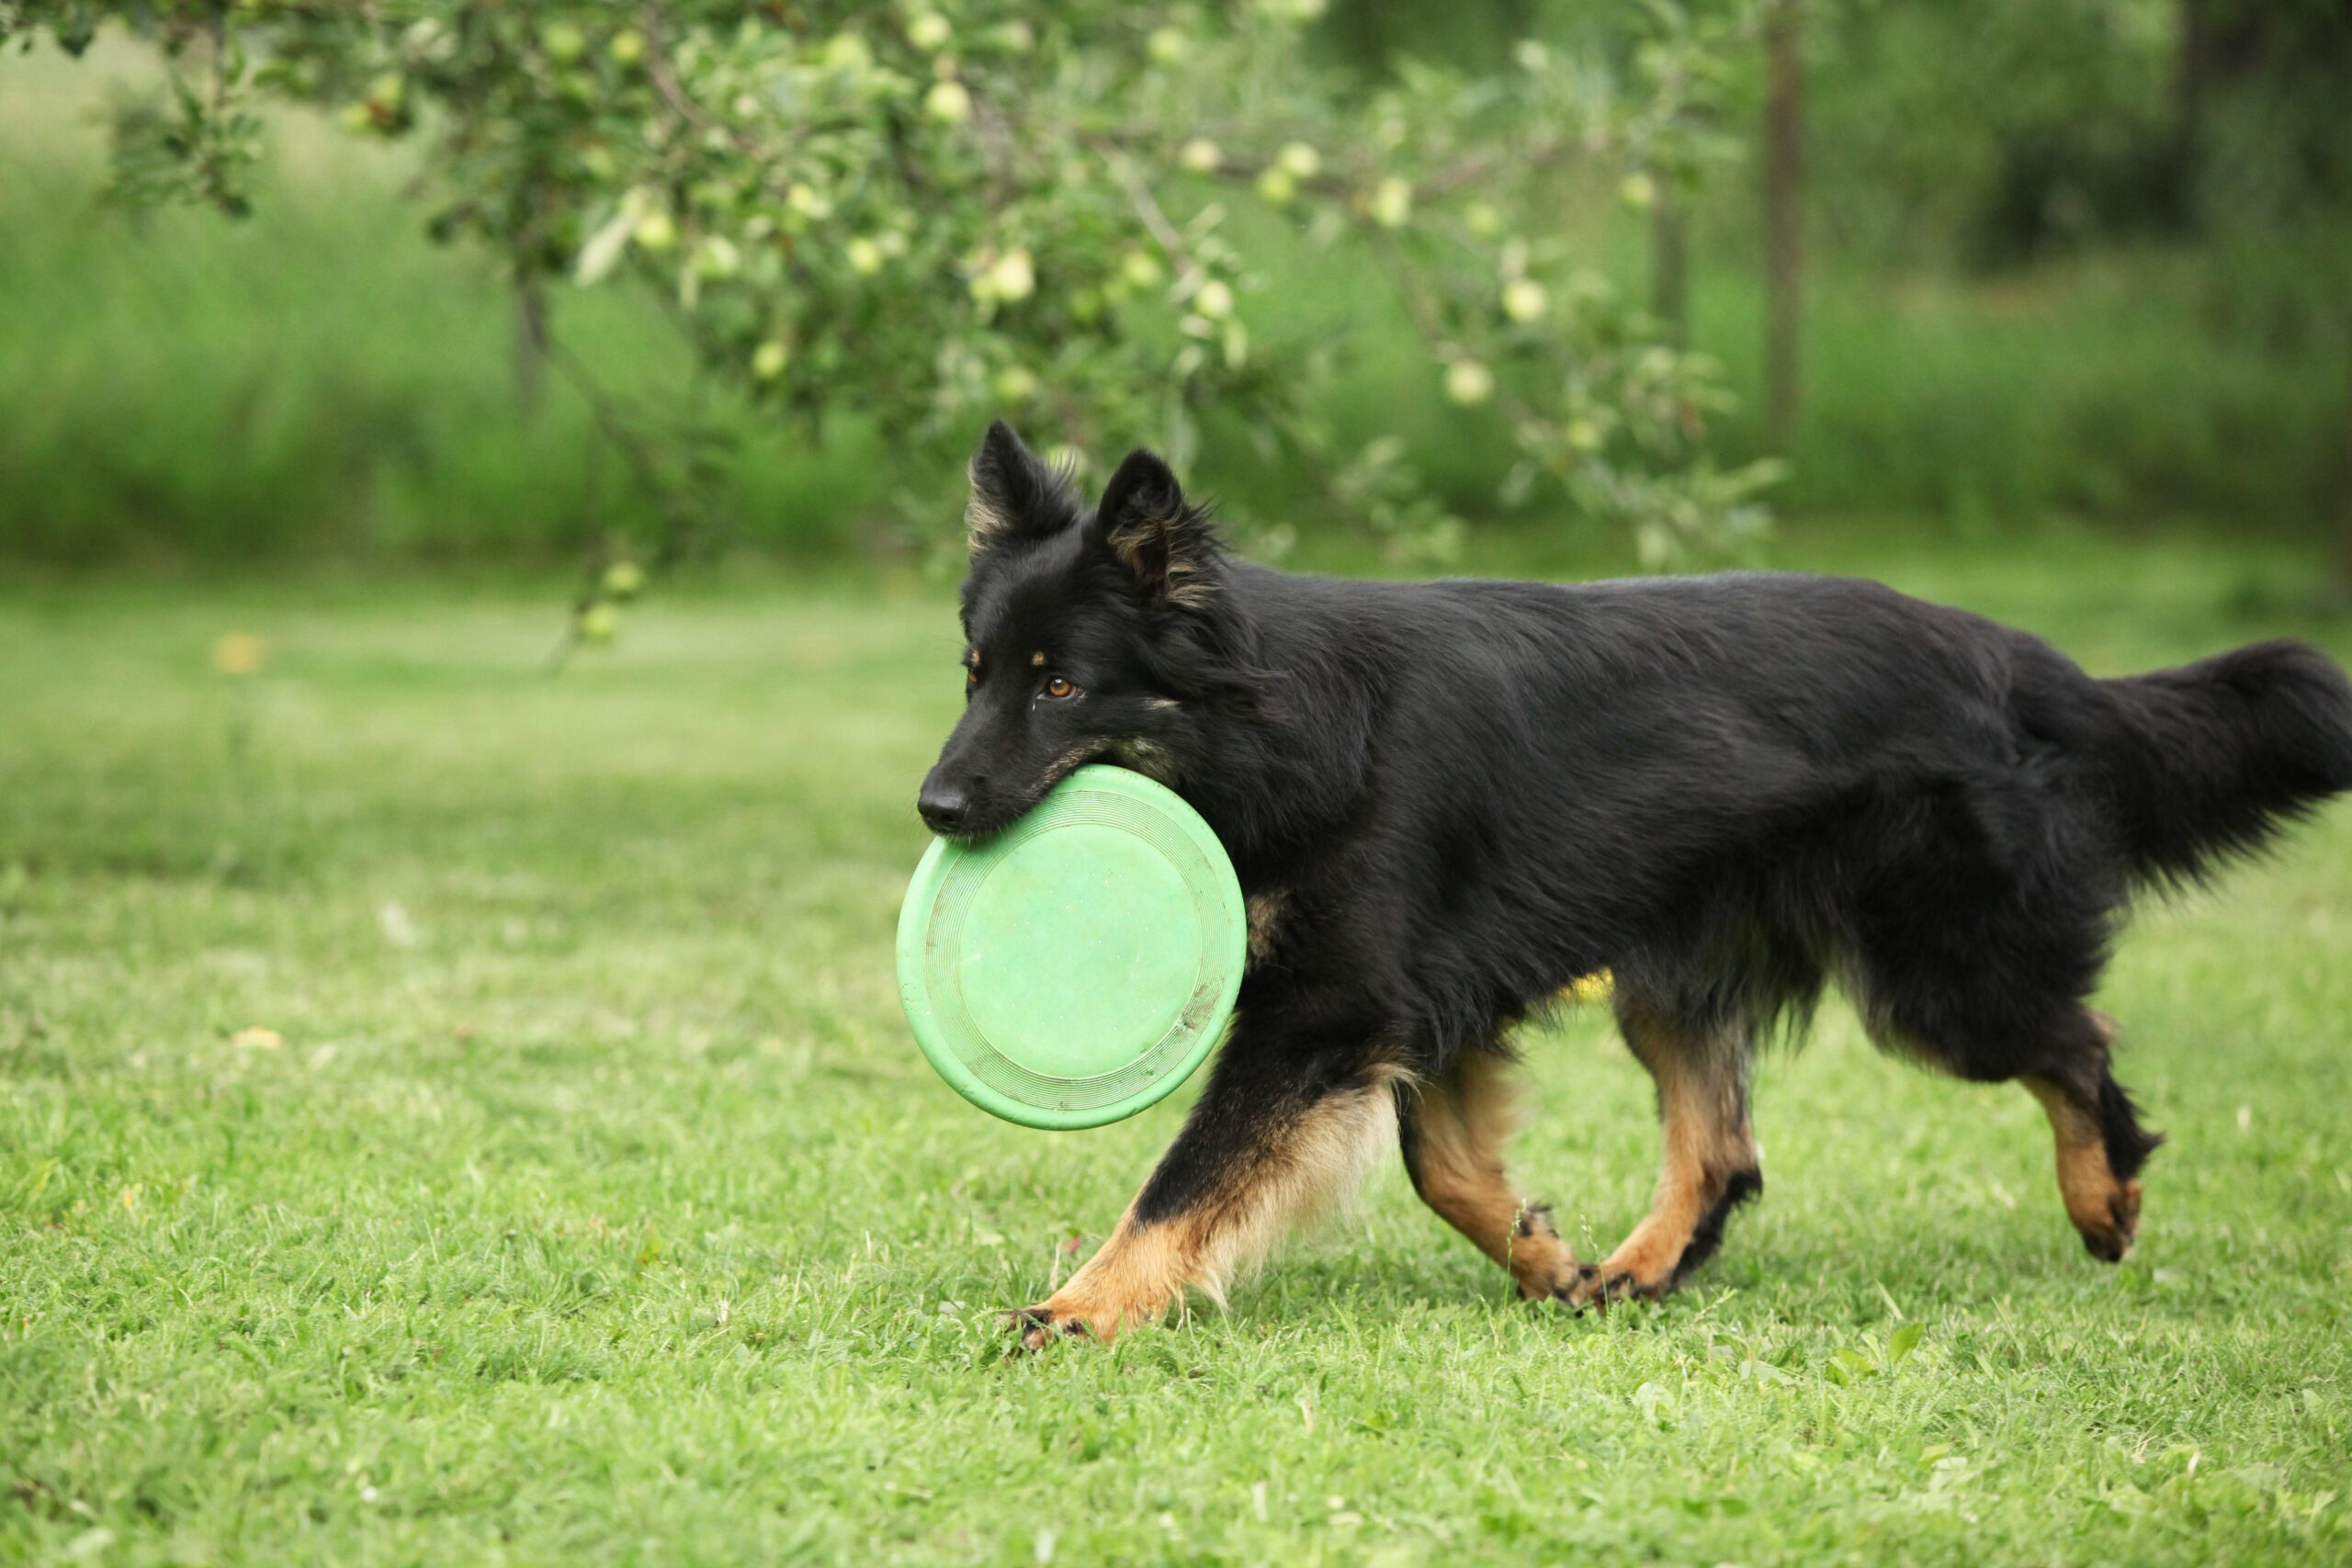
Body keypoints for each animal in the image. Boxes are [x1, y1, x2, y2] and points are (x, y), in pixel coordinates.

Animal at [917, 423, 2352, 1354]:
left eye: (1060, 685)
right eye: (974, 671)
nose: (934, 809)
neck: (1271, 714)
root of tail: (2022, 660)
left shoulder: (1327, 1010)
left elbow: (1182, 1178)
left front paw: (1082, 1307)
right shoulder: (1422, 1001)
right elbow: (1442, 1164)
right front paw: (1543, 1257)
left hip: (1939, 982)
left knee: (2074, 1038)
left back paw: (2103, 1195)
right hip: (1676, 977)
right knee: (1721, 1150)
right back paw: (1638, 1269)